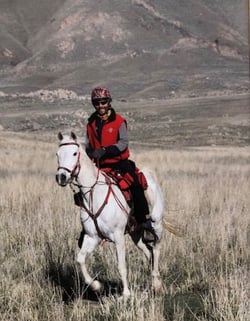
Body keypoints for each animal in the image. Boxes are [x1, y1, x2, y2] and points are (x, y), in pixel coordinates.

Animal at [54, 131, 172, 296]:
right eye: (57, 154)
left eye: (74, 153)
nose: (61, 177)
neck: (94, 194)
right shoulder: (92, 237)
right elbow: (80, 259)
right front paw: (97, 286)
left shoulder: (118, 237)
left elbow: (121, 266)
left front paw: (126, 294)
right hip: (135, 233)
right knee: (149, 253)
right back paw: (155, 283)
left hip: (157, 225)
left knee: (156, 249)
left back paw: (157, 284)